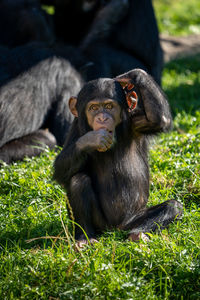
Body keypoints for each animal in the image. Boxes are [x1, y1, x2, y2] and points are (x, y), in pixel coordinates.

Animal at [53, 68, 183, 246]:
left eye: (109, 106)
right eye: (93, 108)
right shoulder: (75, 129)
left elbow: (159, 120)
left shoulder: (136, 121)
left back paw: (137, 234)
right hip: (101, 225)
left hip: (133, 219)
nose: (102, 117)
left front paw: (131, 76)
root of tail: (115, 230)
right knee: (78, 181)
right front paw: (92, 139)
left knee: (173, 206)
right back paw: (85, 238)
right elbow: (60, 170)